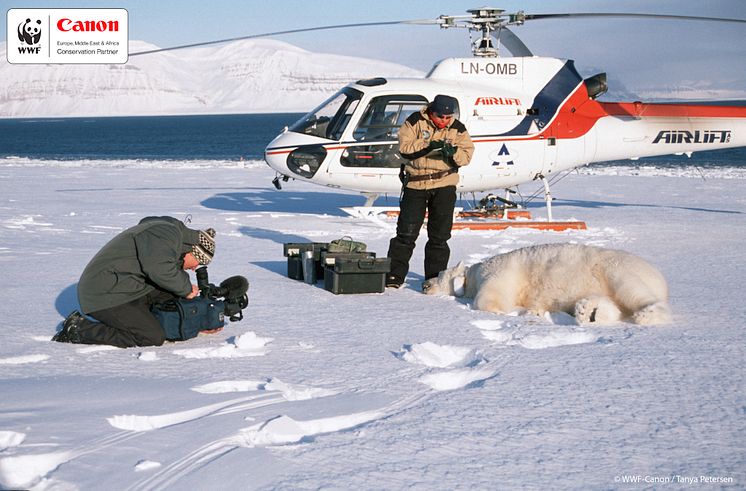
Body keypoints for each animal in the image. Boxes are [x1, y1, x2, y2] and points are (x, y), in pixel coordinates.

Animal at [422, 243, 672, 326]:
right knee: (608, 302)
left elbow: (490, 297)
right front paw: (533, 310)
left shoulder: (497, 271)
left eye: (439, 274)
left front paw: (506, 312)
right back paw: (588, 312)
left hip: (617, 268)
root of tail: (660, 278)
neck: (473, 274)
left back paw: (647, 314)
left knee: (631, 291)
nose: (425, 284)